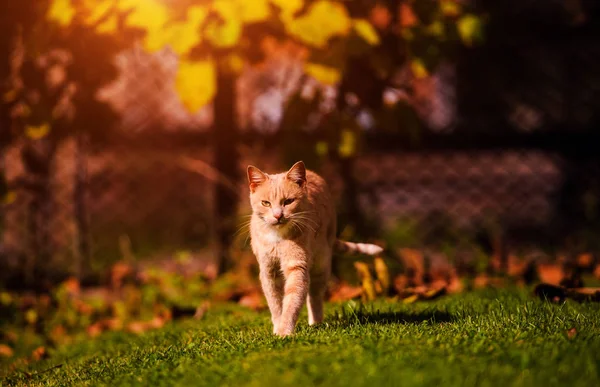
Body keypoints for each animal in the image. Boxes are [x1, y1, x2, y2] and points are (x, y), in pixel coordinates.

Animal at [247, 161, 384, 336]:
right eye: (266, 203)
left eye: (288, 201)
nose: (278, 216)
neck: (277, 238)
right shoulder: (269, 271)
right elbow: (275, 304)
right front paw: (277, 329)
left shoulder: (297, 267)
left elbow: (291, 302)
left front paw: (285, 332)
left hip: (321, 266)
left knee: (314, 297)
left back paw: (316, 324)